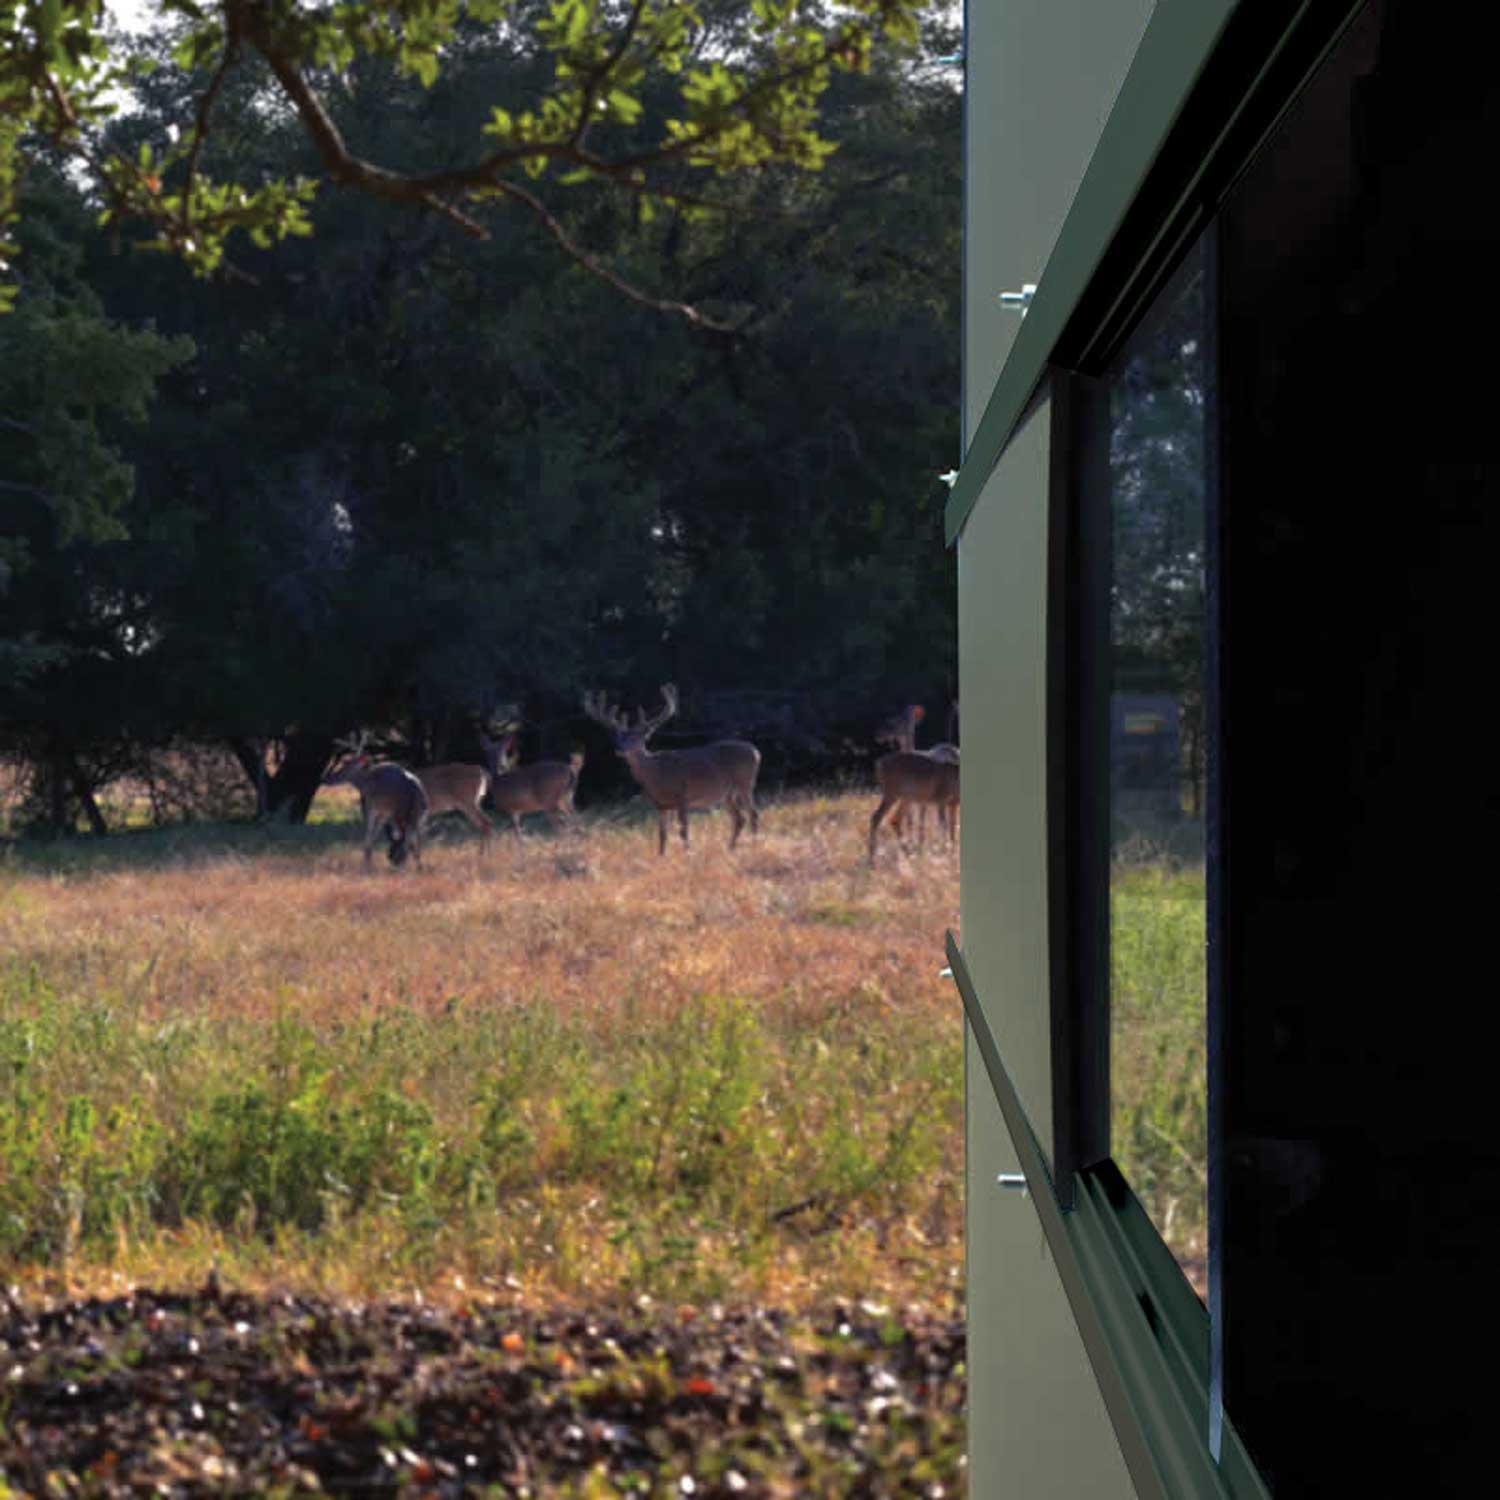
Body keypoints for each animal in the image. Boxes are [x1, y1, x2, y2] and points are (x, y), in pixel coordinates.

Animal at [321, 735, 429, 870]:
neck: (363, 783)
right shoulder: (384, 813)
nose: (327, 779)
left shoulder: (370, 806)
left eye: (345, 766)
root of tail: (414, 788)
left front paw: (367, 863)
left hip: (397, 810)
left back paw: (403, 864)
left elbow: (369, 835)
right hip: (419, 812)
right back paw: (416, 865)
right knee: (415, 837)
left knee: (408, 836)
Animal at [585, 684, 762, 858]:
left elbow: (684, 830)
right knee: (740, 818)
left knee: (753, 814)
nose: (620, 749)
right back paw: (730, 849)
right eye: (618, 737)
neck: (656, 774)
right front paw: (661, 857)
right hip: (726, 794)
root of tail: (756, 753)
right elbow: (662, 835)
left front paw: (688, 855)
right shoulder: (660, 804)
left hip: (745, 783)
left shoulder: (682, 795)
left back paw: (753, 846)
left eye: (638, 738)